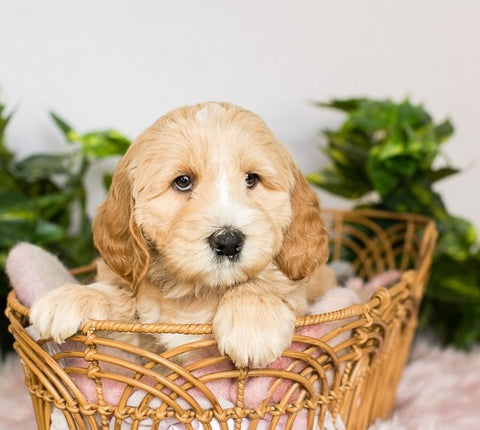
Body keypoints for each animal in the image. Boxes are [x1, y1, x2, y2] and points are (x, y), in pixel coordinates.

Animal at [29, 102, 330, 368]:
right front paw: (71, 298)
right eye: (183, 182)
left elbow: (262, 282)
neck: (197, 292)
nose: (228, 242)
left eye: (252, 179)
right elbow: (123, 297)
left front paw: (252, 323)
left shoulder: (299, 298)